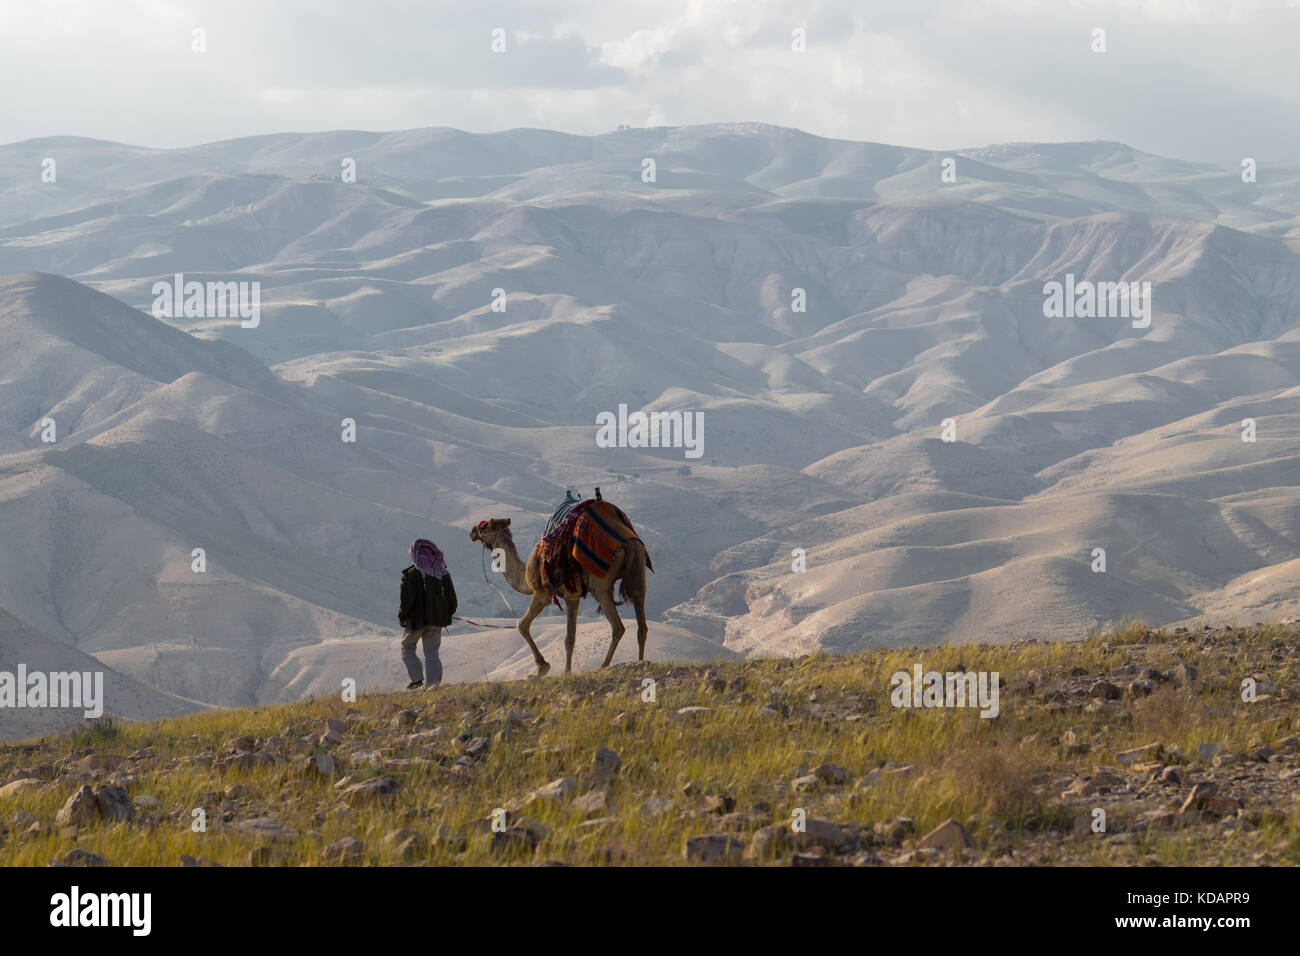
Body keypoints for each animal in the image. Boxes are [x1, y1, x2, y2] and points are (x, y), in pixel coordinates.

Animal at [467, 512, 650, 676]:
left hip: (601, 585)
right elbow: (571, 637)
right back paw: (640, 662)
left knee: (618, 627)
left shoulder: (543, 594)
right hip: (638, 569)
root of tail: (627, 542)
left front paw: (545, 667)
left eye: (483, 526)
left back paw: (604, 666)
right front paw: (563, 670)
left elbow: (524, 625)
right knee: (641, 621)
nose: (471, 532)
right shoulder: (573, 597)